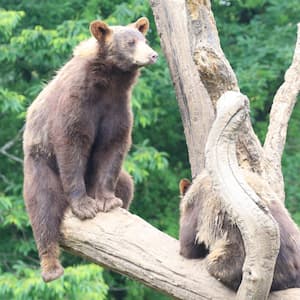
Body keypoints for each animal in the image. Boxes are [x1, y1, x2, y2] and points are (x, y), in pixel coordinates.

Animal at [23, 17, 158, 284]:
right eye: (130, 42)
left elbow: (113, 146)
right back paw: (51, 268)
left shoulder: (116, 106)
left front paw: (108, 200)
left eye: (144, 39)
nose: (152, 55)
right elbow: (71, 144)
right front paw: (85, 205)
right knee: (43, 208)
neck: (109, 79)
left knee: (127, 184)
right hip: (41, 166)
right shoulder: (77, 103)